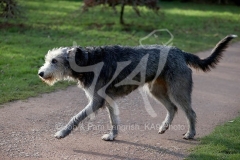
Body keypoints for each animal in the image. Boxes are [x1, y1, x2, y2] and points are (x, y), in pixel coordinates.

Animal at [38, 35, 236, 140]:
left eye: (54, 61)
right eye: (48, 59)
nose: (40, 73)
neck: (88, 61)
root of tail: (180, 52)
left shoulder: (96, 100)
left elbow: (76, 117)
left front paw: (62, 132)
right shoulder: (107, 99)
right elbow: (113, 120)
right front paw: (112, 136)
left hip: (178, 90)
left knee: (190, 113)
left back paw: (190, 133)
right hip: (156, 90)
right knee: (172, 108)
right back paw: (164, 127)